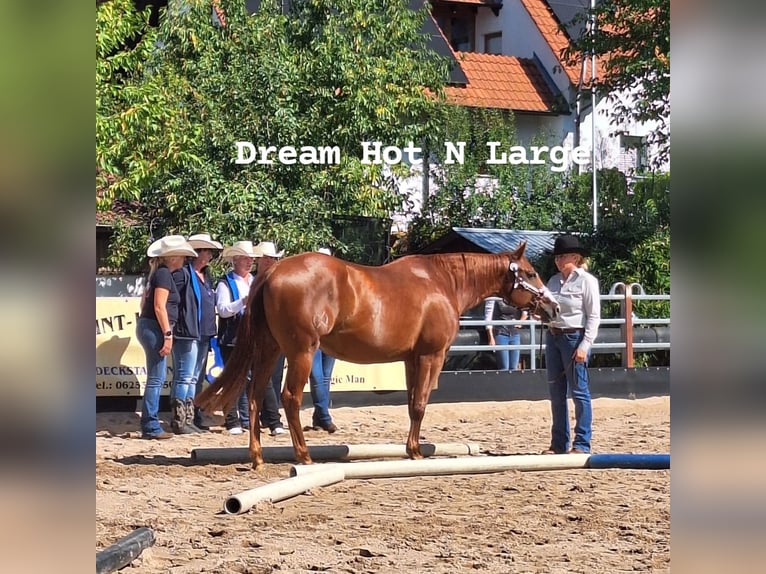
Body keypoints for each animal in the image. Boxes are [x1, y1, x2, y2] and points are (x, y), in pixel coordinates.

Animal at [196, 242, 559, 469]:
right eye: (529, 273)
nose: (553, 307)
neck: (442, 282)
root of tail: (273, 271)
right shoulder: (431, 356)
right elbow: (420, 403)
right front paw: (416, 453)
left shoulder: (411, 359)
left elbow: (412, 404)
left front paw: (411, 448)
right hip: (300, 351)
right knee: (290, 398)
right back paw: (304, 455)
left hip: (271, 349)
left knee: (255, 394)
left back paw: (257, 457)